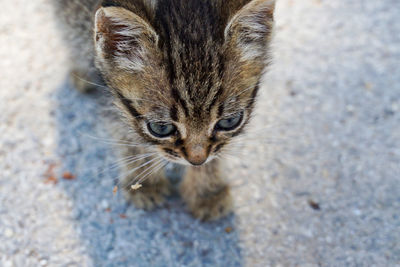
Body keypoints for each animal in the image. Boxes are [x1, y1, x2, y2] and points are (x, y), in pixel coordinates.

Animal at [53, 0, 276, 221]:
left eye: (229, 121)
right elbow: (126, 133)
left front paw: (207, 191)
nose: (197, 160)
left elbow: (218, 149)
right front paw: (144, 181)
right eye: (160, 128)